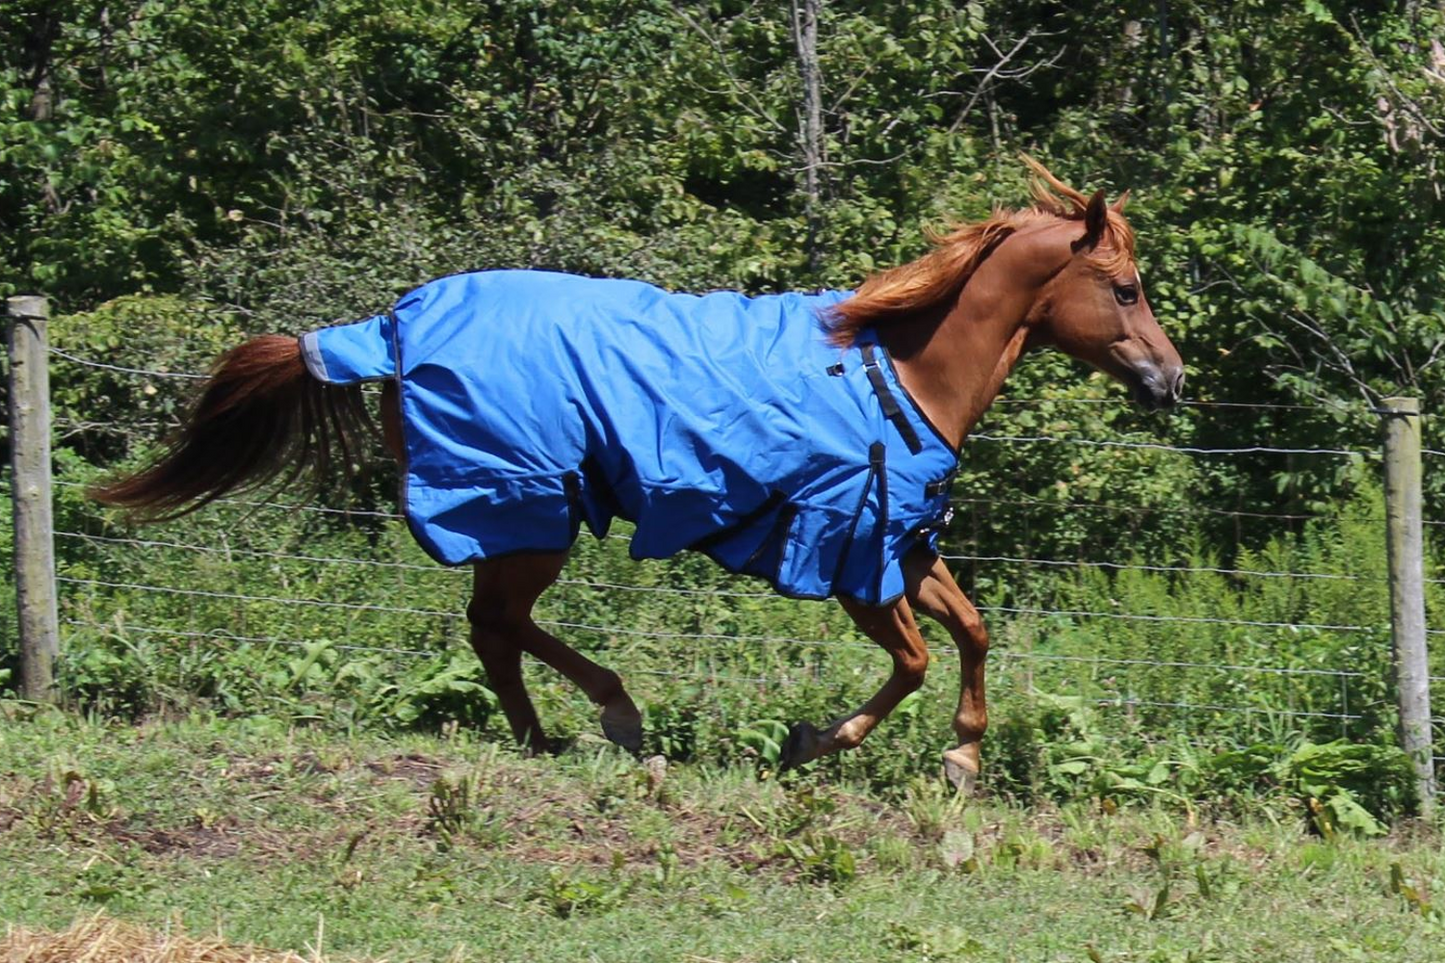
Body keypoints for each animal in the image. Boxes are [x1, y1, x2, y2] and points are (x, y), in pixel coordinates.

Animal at [92, 159, 1183, 792]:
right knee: (499, 624)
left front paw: (960, 755)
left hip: (529, 518)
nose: (1170, 379)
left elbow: (972, 631)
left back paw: (549, 736)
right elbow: (913, 658)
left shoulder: (898, 545)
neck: (897, 372)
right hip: (532, 513)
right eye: (1125, 287)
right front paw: (814, 742)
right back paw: (612, 720)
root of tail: (392, 328)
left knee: (493, 630)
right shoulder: (847, 552)